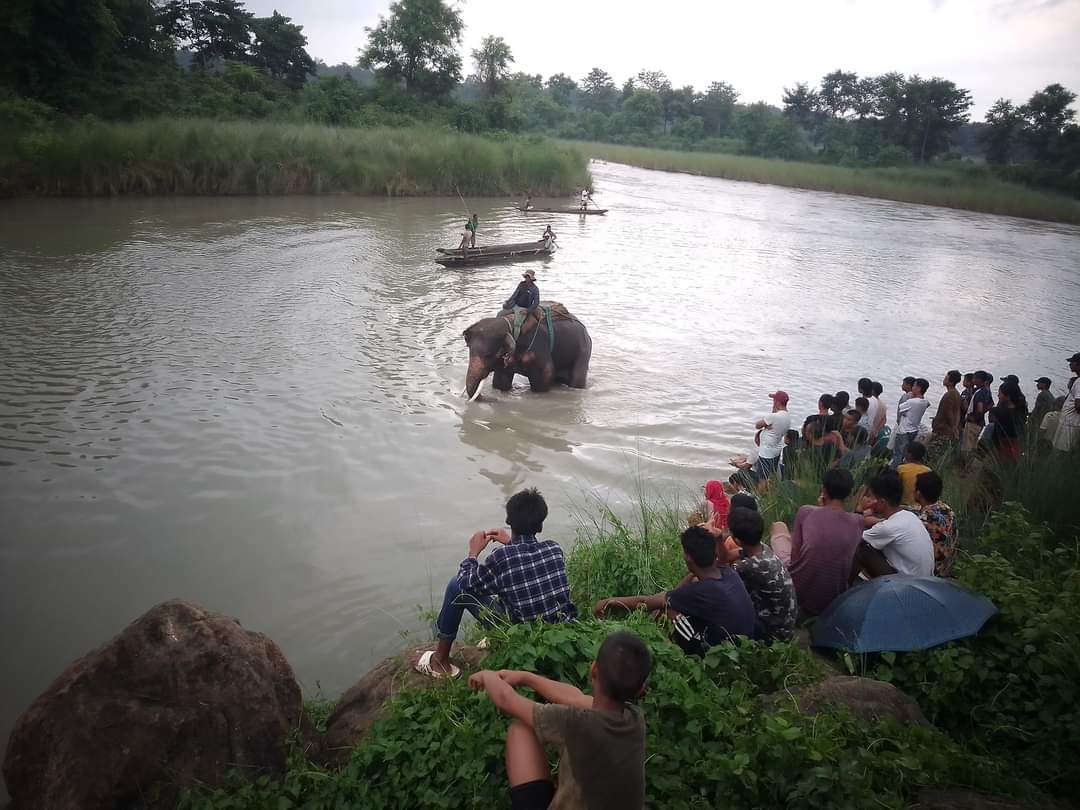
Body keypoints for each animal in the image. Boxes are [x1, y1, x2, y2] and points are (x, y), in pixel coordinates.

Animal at [462, 304, 591, 399]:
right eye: (469, 351)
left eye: (488, 355)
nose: (492, 398)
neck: (510, 324)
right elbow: (501, 382)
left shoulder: (539, 349)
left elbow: (546, 375)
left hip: (583, 352)